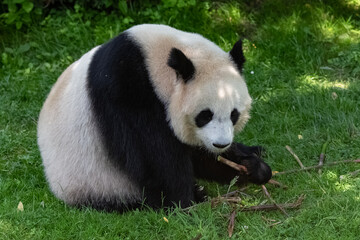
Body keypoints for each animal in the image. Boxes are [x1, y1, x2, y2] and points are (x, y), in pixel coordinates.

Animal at [38, 24, 272, 212]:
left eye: (234, 114)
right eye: (205, 115)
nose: (221, 144)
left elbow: (196, 154)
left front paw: (253, 168)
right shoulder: (127, 92)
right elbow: (155, 155)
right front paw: (185, 201)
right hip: (94, 183)